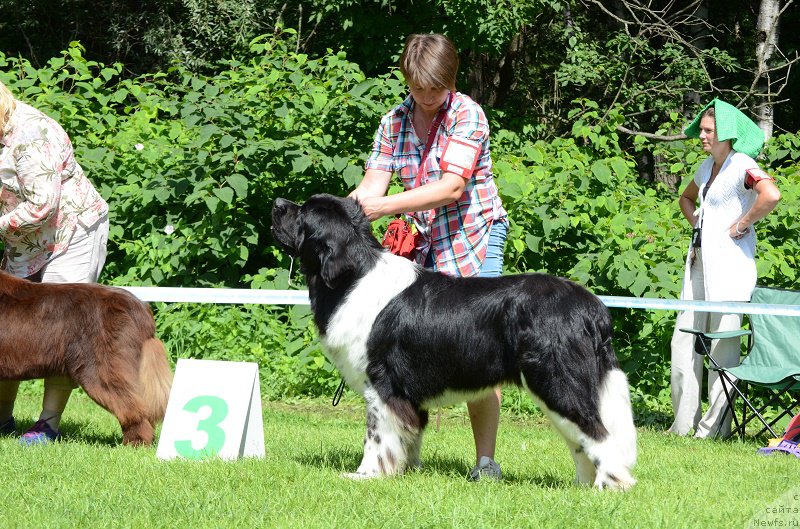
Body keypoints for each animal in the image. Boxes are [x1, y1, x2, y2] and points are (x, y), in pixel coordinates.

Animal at [274, 194, 636, 490]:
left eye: (303, 212)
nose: (278, 202)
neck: (353, 277)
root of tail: (592, 307)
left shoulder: (381, 384)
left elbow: (376, 437)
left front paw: (366, 475)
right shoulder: (408, 393)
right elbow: (409, 433)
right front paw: (407, 471)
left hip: (558, 381)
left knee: (598, 433)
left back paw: (609, 486)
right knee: (581, 441)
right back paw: (583, 487)